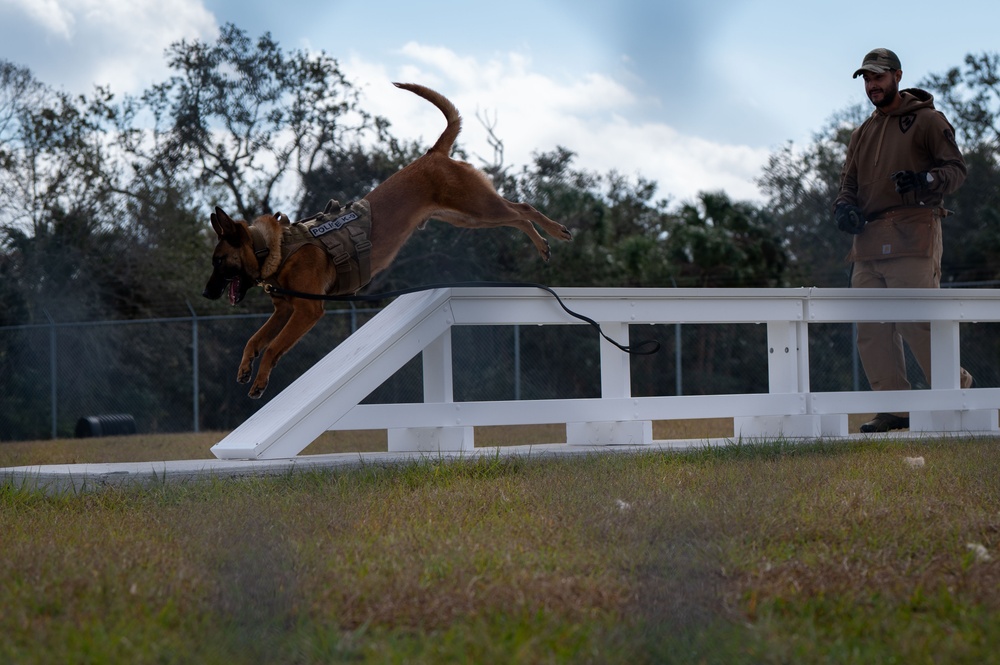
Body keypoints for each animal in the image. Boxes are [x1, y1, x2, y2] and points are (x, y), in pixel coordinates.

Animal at [201, 80, 572, 396]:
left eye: (219, 261)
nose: (205, 294)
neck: (275, 249)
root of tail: (433, 153)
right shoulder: (284, 311)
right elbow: (255, 339)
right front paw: (245, 366)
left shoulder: (306, 310)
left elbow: (274, 347)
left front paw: (260, 380)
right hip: (466, 216)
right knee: (517, 210)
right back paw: (546, 240)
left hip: (478, 207)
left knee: (523, 210)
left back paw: (551, 236)